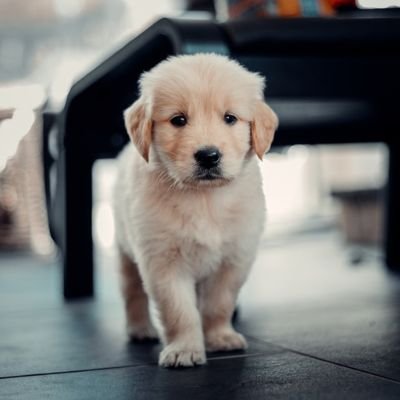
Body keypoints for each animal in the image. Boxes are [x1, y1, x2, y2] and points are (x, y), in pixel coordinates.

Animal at [111, 54, 276, 368]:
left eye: (230, 118)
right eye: (178, 120)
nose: (208, 156)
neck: (204, 198)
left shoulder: (233, 258)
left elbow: (218, 304)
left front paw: (220, 337)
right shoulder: (162, 261)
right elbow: (179, 310)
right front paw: (184, 349)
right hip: (125, 251)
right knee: (132, 293)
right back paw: (140, 329)